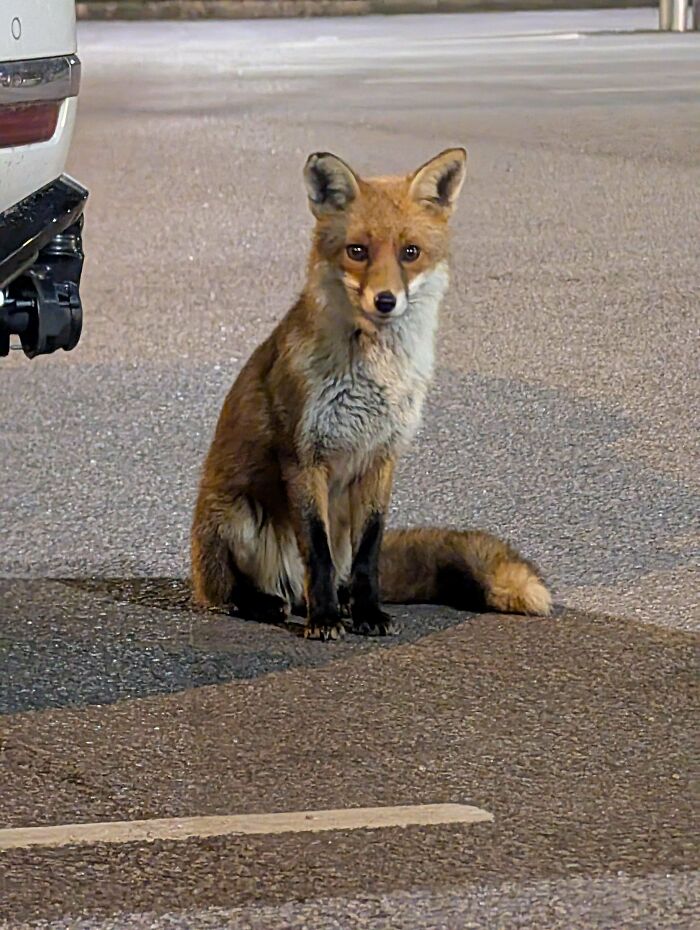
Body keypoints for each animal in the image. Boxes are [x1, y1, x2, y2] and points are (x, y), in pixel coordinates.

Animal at [191, 148, 551, 640]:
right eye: (357, 251)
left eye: (410, 253)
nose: (385, 300)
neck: (373, 377)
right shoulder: (304, 457)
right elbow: (317, 553)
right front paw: (325, 619)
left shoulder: (382, 457)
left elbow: (370, 554)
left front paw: (367, 612)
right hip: (239, 518)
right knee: (235, 594)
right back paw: (273, 603)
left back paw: (336, 602)